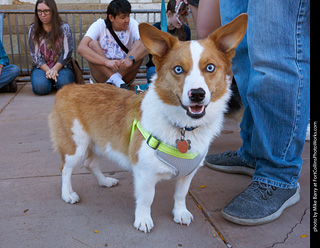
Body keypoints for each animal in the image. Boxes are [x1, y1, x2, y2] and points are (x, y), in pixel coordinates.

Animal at [48, 14, 248, 233]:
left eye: (210, 67)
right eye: (178, 69)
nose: (197, 94)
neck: (182, 128)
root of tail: (69, 88)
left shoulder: (187, 174)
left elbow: (180, 195)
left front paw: (180, 213)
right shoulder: (145, 174)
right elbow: (146, 199)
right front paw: (143, 220)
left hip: (98, 143)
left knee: (90, 164)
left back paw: (105, 181)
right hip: (76, 147)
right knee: (65, 169)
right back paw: (68, 194)